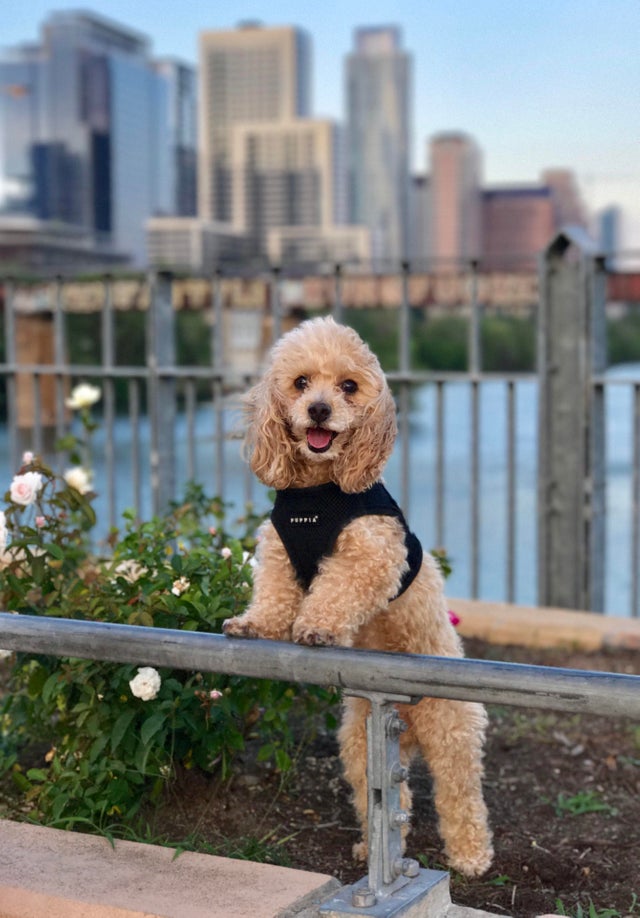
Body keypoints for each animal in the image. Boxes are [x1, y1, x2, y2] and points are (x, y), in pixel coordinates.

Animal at [222, 318, 492, 884]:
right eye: (301, 383)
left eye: (348, 386)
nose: (320, 410)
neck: (315, 492)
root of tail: (406, 720)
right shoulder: (278, 555)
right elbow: (273, 597)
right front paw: (254, 624)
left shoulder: (372, 556)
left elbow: (335, 590)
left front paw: (318, 627)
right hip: (361, 740)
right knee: (389, 801)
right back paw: (374, 850)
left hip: (452, 729)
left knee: (461, 796)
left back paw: (472, 856)